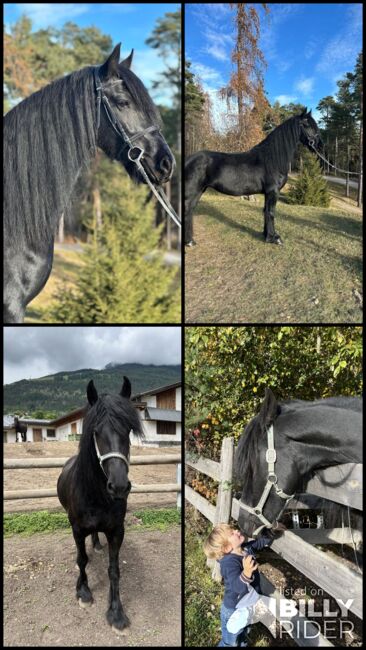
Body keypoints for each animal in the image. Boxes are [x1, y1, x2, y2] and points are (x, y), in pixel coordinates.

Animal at [56, 378, 143, 632]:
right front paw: (83, 591)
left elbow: (114, 570)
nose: (119, 486)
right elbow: (81, 559)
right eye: (96, 432)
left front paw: (116, 612)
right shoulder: (76, 529)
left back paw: (95, 544)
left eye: (128, 430)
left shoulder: (116, 531)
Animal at [186, 109, 320, 246]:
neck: (272, 159)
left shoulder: (268, 193)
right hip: (192, 191)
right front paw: (274, 238)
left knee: (190, 210)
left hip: (200, 191)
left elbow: (265, 211)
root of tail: (189, 159)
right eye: (307, 125)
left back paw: (191, 241)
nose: (318, 144)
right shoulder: (273, 192)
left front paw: (266, 235)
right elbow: (271, 212)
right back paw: (189, 241)